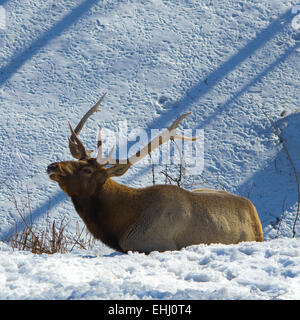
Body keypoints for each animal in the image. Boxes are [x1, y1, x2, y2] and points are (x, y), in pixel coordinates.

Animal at [47, 94, 262, 254]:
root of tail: (254, 214)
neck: (121, 225)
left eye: (87, 170)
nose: (53, 166)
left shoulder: (156, 244)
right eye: (77, 161)